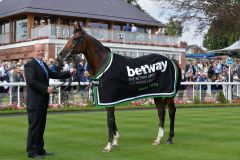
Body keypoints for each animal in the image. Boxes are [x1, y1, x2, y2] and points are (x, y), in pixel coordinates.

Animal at [56, 21, 180, 152]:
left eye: (75, 38)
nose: (60, 55)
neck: (103, 64)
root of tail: (172, 60)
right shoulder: (108, 98)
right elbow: (113, 118)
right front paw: (115, 141)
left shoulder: (109, 97)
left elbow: (109, 119)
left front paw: (109, 145)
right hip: (157, 93)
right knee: (161, 112)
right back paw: (158, 139)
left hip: (168, 94)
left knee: (171, 111)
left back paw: (170, 138)